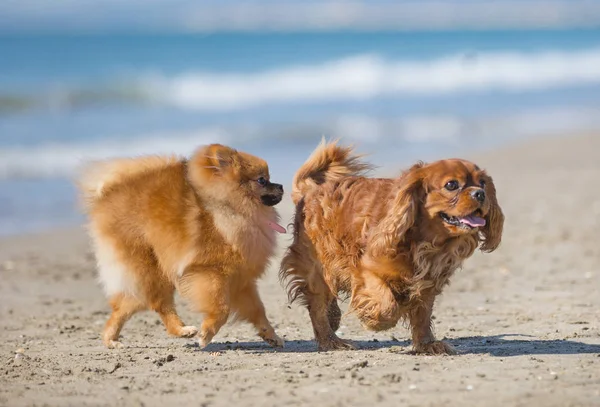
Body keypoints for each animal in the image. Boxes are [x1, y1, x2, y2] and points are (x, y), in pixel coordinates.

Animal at [80, 144, 286, 350]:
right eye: (262, 180)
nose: (281, 186)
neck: (231, 209)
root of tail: (107, 195)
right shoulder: (210, 274)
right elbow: (222, 308)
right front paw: (206, 334)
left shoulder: (241, 280)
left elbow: (258, 310)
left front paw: (271, 335)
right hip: (152, 270)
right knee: (158, 304)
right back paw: (181, 330)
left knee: (125, 306)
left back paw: (112, 339)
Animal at [278, 142, 504, 356]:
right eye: (452, 185)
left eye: (482, 183)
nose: (480, 194)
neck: (427, 241)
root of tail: (309, 190)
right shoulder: (366, 270)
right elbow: (388, 305)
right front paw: (374, 319)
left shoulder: (429, 283)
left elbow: (422, 315)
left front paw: (427, 344)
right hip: (316, 267)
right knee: (317, 305)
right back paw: (331, 341)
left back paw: (334, 317)